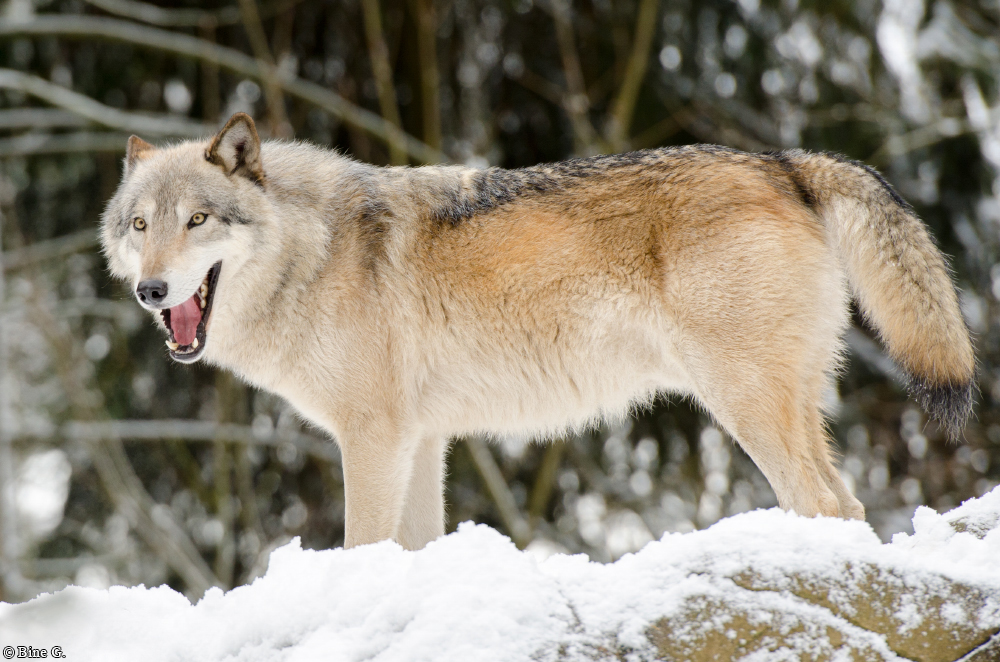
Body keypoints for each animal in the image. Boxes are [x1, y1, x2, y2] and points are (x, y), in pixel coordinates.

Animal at [102, 112, 975, 550]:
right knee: (848, 506)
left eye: (199, 220)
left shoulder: (373, 440)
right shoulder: (422, 442)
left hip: (744, 405)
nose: (151, 290)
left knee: (829, 506)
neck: (315, 252)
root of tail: (784, 162)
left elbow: (360, 549)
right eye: (141, 225)